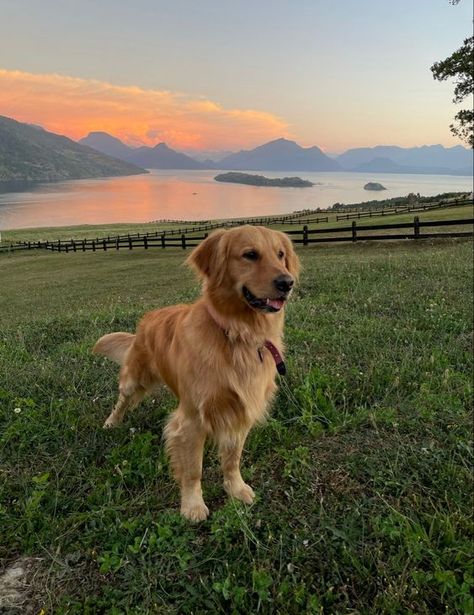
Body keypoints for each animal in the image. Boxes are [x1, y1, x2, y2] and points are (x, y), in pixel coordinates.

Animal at [93, 225, 300, 520]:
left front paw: (236, 488)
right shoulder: (192, 420)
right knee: (122, 400)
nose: (287, 283)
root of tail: (148, 318)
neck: (237, 333)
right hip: (135, 378)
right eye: (250, 254)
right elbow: (192, 469)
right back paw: (112, 422)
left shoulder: (240, 409)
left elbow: (232, 458)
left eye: (281, 254)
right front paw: (192, 505)